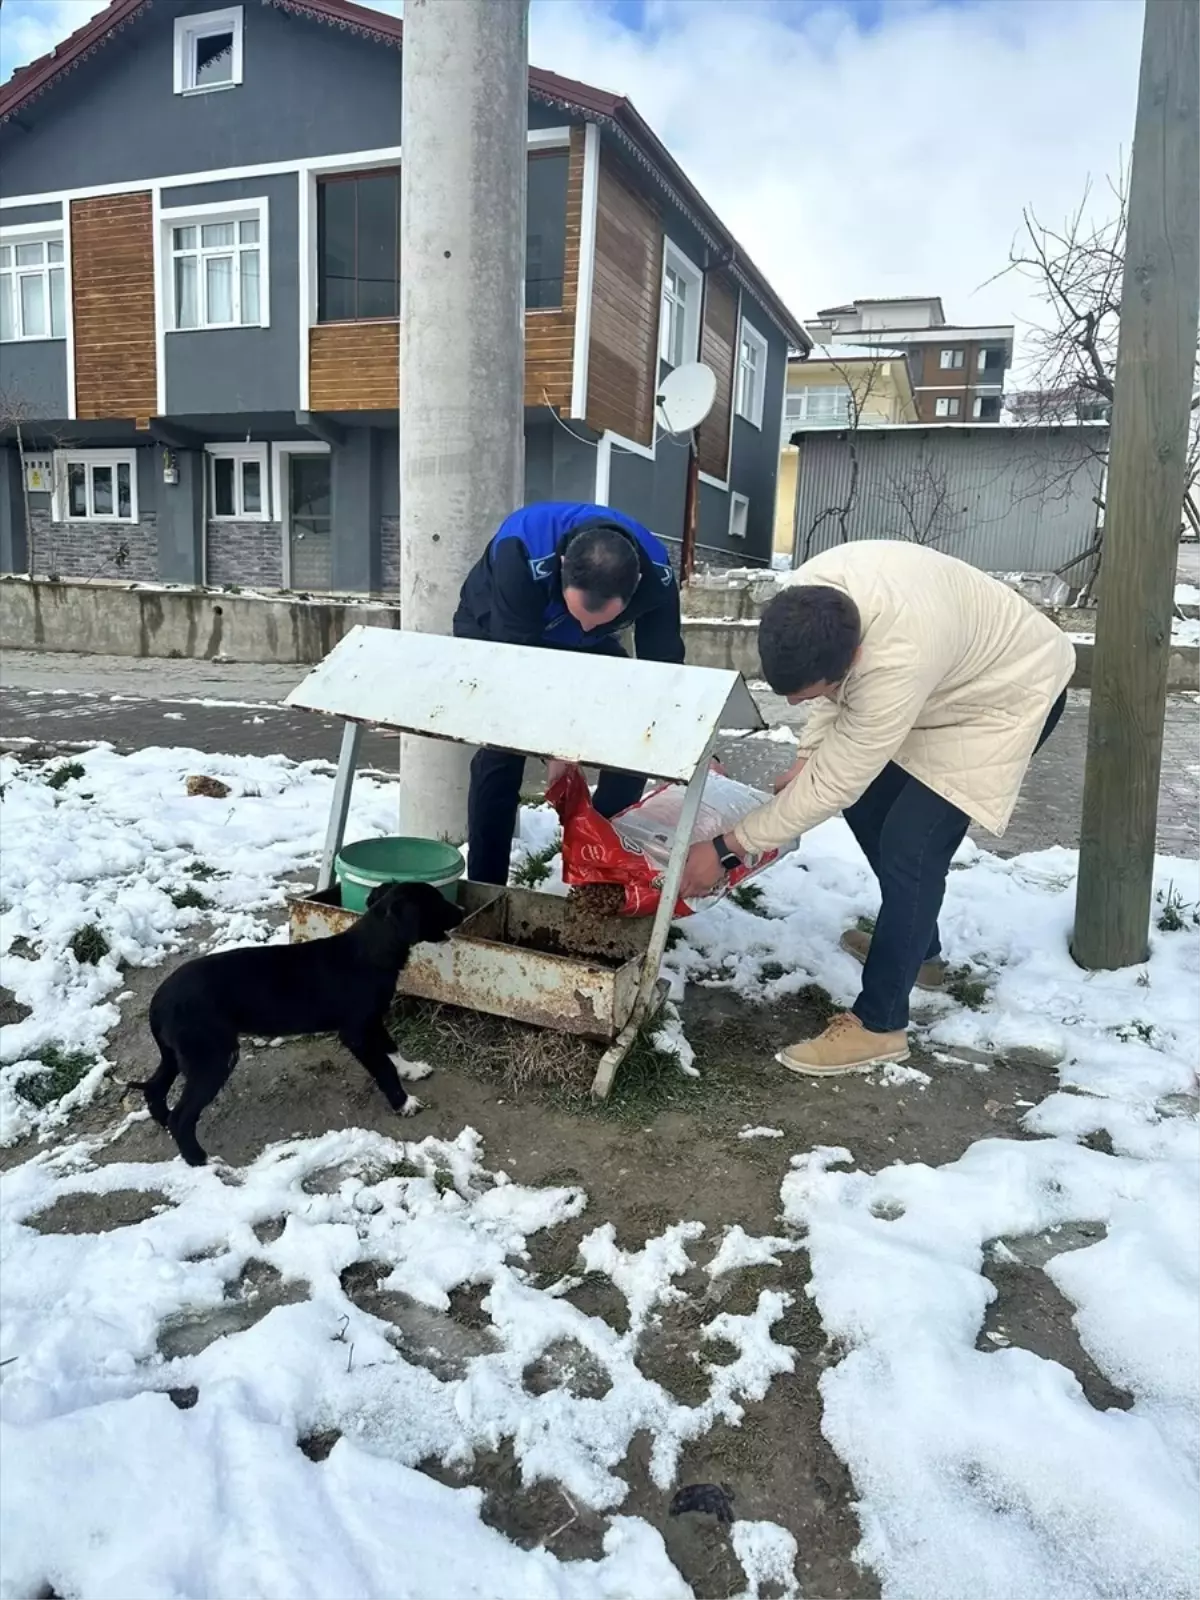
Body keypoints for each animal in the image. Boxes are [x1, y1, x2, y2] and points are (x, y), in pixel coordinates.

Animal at [138, 883, 464, 1171]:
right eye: (436, 902)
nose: (462, 911)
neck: (371, 948)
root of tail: (158, 1000)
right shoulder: (356, 1032)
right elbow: (383, 1066)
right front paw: (403, 1103)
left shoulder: (373, 1020)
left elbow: (391, 1047)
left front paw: (411, 1069)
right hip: (214, 1057)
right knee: (182, 1116)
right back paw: (201, 1161)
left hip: (178, 1054)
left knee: (154, 1089)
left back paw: (165, 1124)